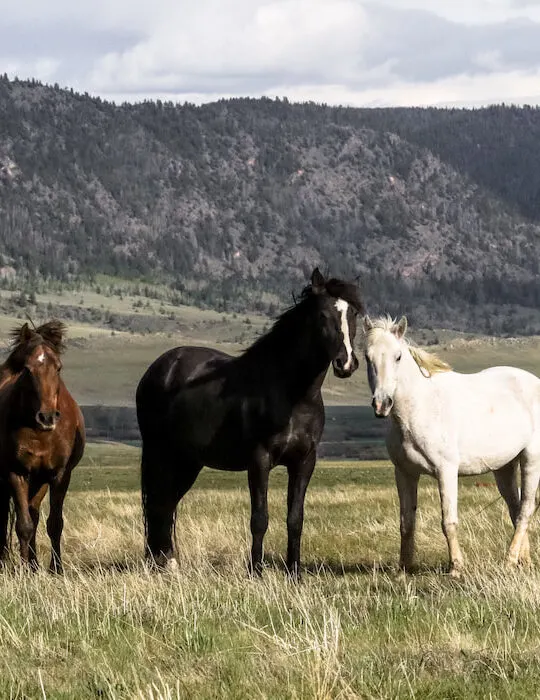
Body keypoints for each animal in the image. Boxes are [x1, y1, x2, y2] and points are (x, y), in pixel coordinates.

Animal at [0, 320, 84, 572]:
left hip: (39, 480)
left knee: (34, 513)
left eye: (58, 368)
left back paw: (35, 564)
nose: (47, 417)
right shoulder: (15, 472)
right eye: (27, 370)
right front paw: (23, 570)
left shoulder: (59, 474)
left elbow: (54, 523)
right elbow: (23, 525)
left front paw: (55, 568)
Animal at [136, 268, 362, 576]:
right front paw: (256, 571)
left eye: (354, 314)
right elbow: (259, 518)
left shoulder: (304, 461)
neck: (293, 393)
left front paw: (294, 572)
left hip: (187, 461)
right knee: (158, 505)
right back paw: (161, 565)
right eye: (322, 315)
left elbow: (295, 518)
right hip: (161, 454)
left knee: (166, 505)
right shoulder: (259, 459)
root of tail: (159, 368)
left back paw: (167, 563)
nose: (346, 363)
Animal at [360, 314, 540, 576]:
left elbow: (449, 521)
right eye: (367, 357)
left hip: (531, 460)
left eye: (398, 356)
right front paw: (404, 569)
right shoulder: (404, 473)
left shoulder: (446, 471)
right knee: (515, 508)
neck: (419, 408)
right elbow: (406, 522)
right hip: (504, 468)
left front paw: (456, 567)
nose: (382, 404)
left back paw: (509, 560)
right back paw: (522, 560)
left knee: (525, 510)